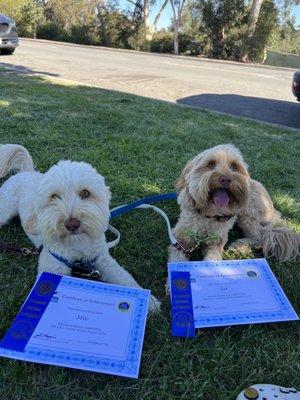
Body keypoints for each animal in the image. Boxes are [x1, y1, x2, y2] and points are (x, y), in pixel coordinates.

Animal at [0, 145, 161, 314]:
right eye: (53, 197)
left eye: (85, 193)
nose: (71, 223)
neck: (77, 246)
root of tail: (27, 172)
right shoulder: (53, 266)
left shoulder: (103, 259)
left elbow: (124, 277)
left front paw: (150, 302)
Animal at [170, 144, 298, 262]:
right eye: (210, 164)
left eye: (234, 166)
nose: (226, 179)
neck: (208, 215)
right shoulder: (179, 239)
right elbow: (177, 259)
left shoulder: (216, 241)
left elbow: (213, 259)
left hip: (248, 214)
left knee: (260, 238)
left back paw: (239, 246)